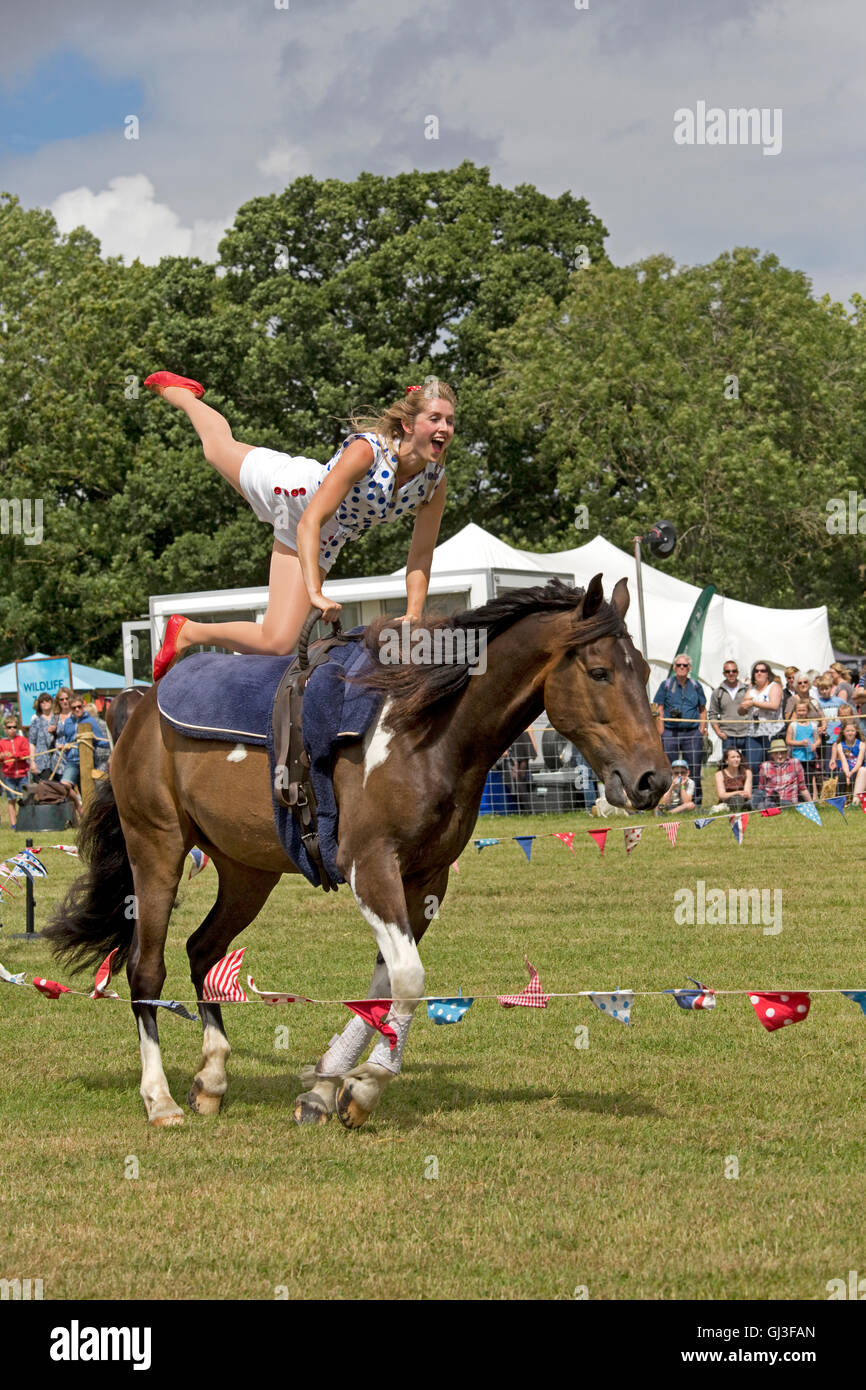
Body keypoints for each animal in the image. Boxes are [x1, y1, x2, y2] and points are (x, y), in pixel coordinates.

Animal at [45, 575, 670, 1129]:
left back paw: (212, 1078)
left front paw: (326, 1089)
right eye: (599, 671)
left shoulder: (425, 880)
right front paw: (365, 1085)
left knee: (204, 950)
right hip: (157, 848)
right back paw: (161, 1099)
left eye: (644, 671)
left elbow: (383, 989)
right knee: (146, 968)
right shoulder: (370, 867)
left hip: (247, 871)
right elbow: (410, 981)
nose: (654, 780)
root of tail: (138, 709)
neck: (426, 729)